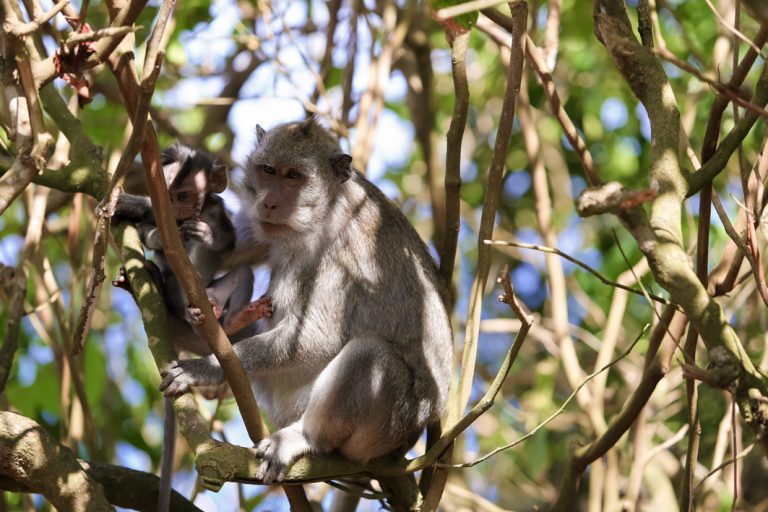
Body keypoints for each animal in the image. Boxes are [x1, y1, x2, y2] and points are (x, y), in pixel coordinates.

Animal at [159, 118, 452, 486]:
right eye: (269, 171)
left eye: (294, 176)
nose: (269, 203)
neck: (323, 214)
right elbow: (230, 250)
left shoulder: (345, 249)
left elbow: (320, 336)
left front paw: (206, 367)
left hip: (386, 428)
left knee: (370, 355)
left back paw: (306, 437)